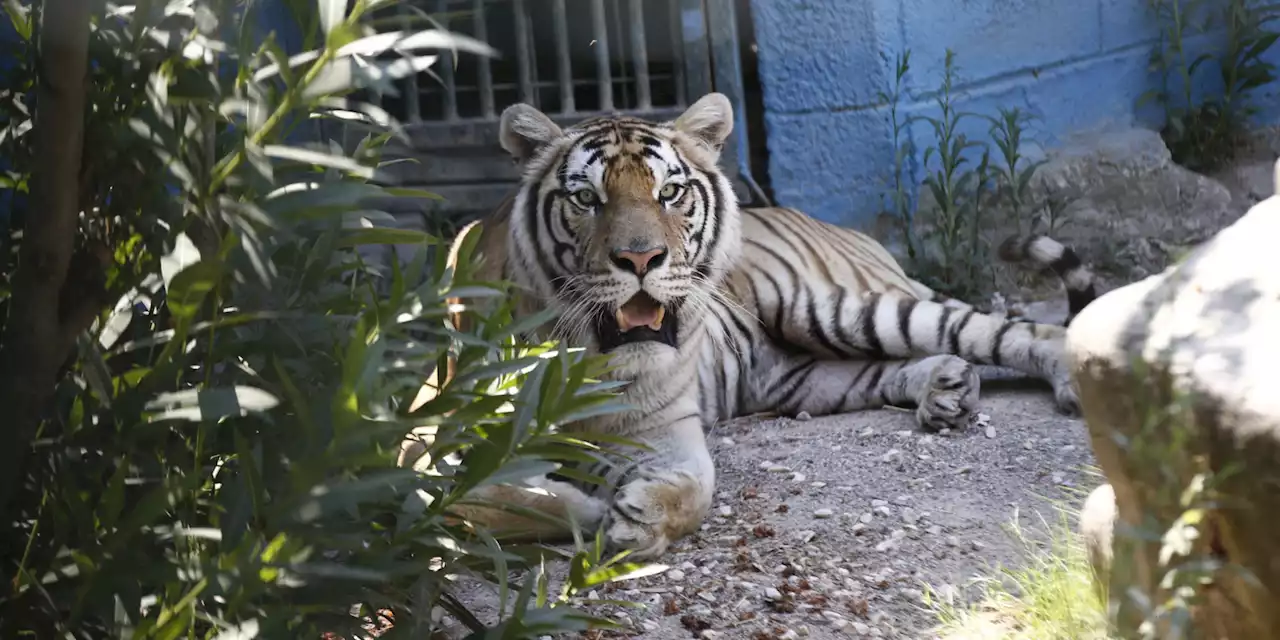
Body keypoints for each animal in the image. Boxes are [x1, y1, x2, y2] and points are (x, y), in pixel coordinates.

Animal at [422, 91, 1100, 560]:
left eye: (670, 193)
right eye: (586, 199)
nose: (641, 260)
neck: (589, 356)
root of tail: (843, 229)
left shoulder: (663, 429)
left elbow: (694, 490)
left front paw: (635, 517)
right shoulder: (431, 440)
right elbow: (470, 505)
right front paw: (584, 505)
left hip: (836, 309)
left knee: (1021, 331)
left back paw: (1068, 385)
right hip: (807, 377)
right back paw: (947, 392)